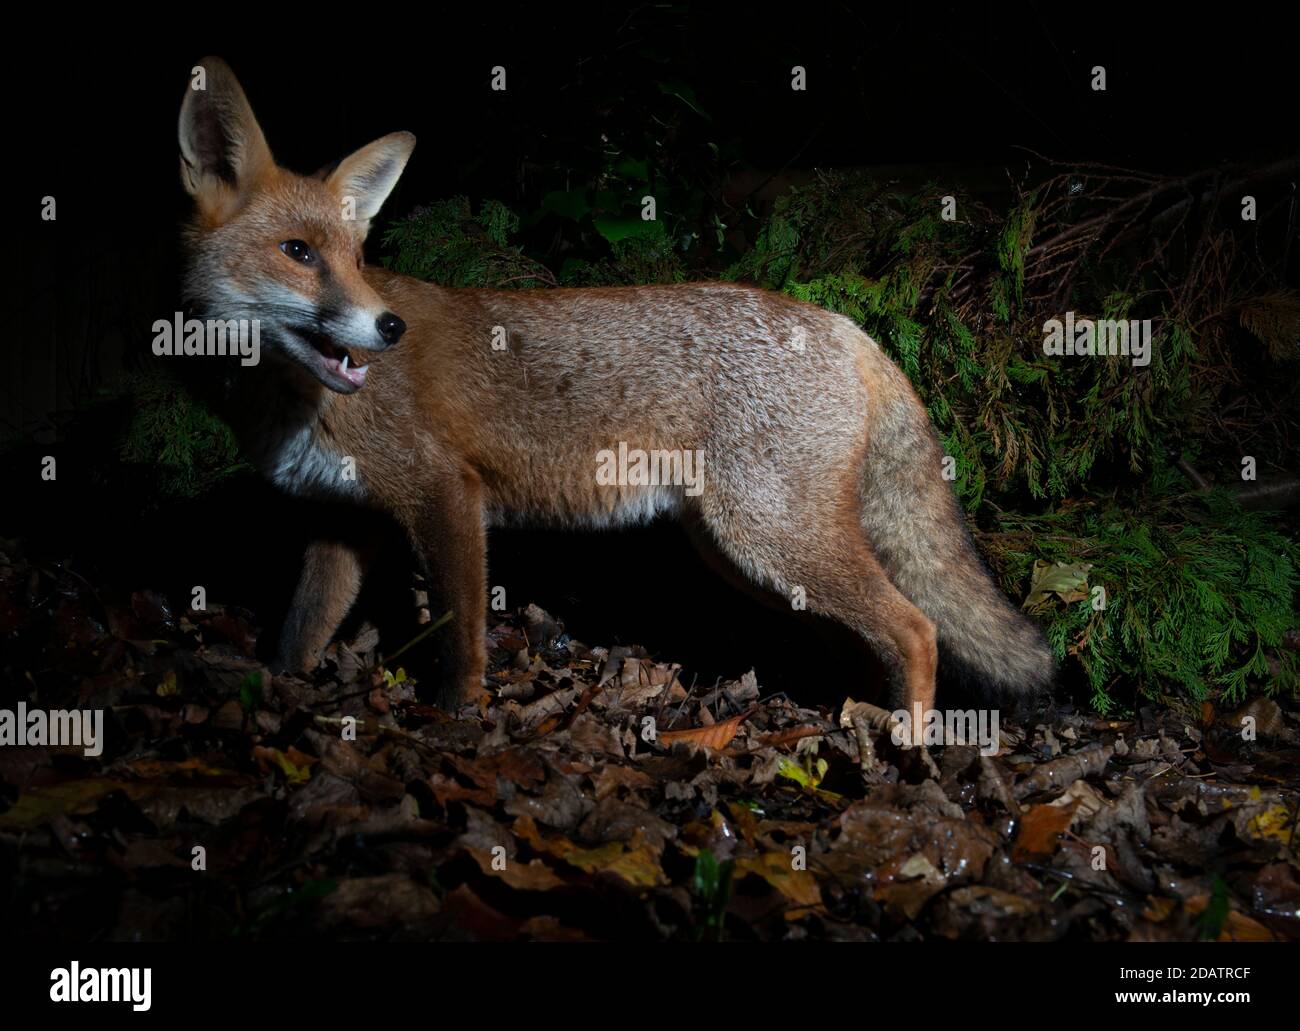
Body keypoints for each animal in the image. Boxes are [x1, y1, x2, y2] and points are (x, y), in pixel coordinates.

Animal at [178, 56, 1050, 717]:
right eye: (299, 252)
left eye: (357, 258)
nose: (388, 327)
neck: (290, 402)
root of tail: (841, 322)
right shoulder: (343, 519)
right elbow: (299, 635)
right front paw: (276, 695)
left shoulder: (446, 493)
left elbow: (460, 638)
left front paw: (457, 720)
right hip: (751, 558)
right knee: (870, 640)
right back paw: (852, 720)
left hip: (767, 539)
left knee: (916, 628)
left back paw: (907, 747)